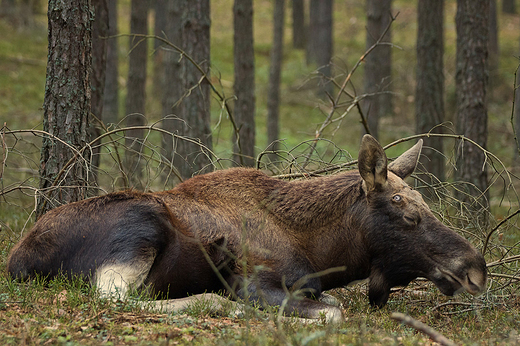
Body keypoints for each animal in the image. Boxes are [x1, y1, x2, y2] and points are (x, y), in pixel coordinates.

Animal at [7, 134, 488, 322]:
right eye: (409, 214)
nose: (475, 270)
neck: (323, 252)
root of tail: (17, 260)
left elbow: (331, 302)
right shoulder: (256, 281)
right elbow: (333, 311)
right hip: (140, 225)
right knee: (114, 297)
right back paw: (219, 304)